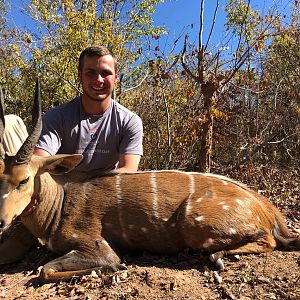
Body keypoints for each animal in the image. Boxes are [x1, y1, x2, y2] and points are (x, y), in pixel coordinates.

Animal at [0, 80, 298, 284]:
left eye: (24, 180)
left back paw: (219, 258)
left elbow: (47, 269)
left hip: (194, 222)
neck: (59, 206)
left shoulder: (95, 245)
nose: (2, 221)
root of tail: (268, 209)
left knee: (268, 240)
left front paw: (116, 268)